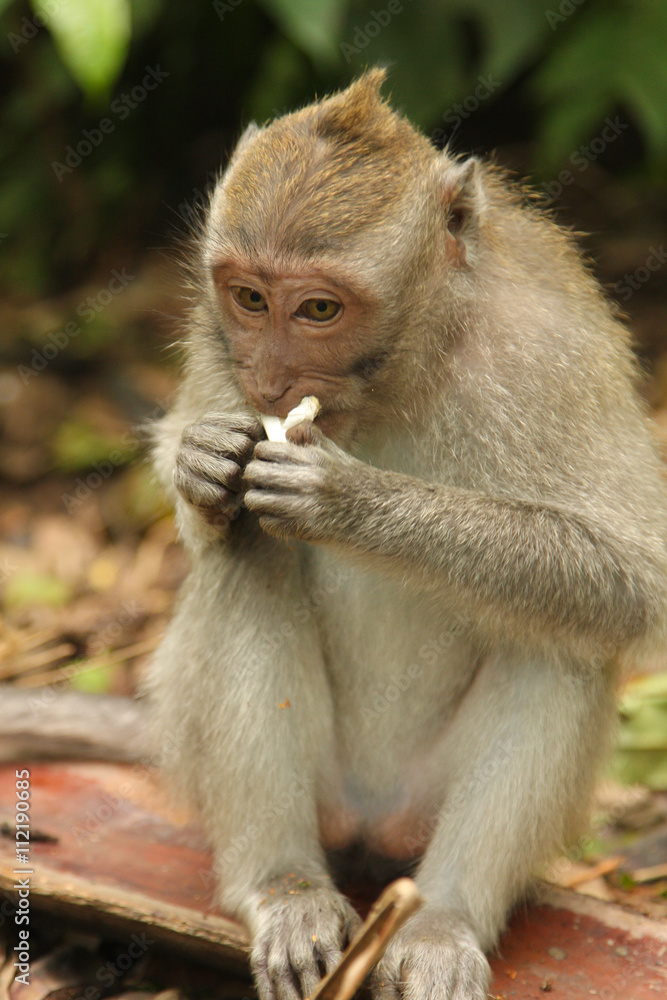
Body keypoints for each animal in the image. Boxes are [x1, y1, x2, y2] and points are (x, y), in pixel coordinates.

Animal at [149, 70, 667, 1000]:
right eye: (250, 298)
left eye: (318, 309)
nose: (267, 381)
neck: (403, 372)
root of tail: (371, 821)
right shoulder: (213, 337)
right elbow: (204, 486)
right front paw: (203, 463)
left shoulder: (550, 351)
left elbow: (628, 572)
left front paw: (345, 500)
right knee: (246, 558)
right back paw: (285, 889)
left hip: (426, 809)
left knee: (562, 637)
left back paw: (440, 922)